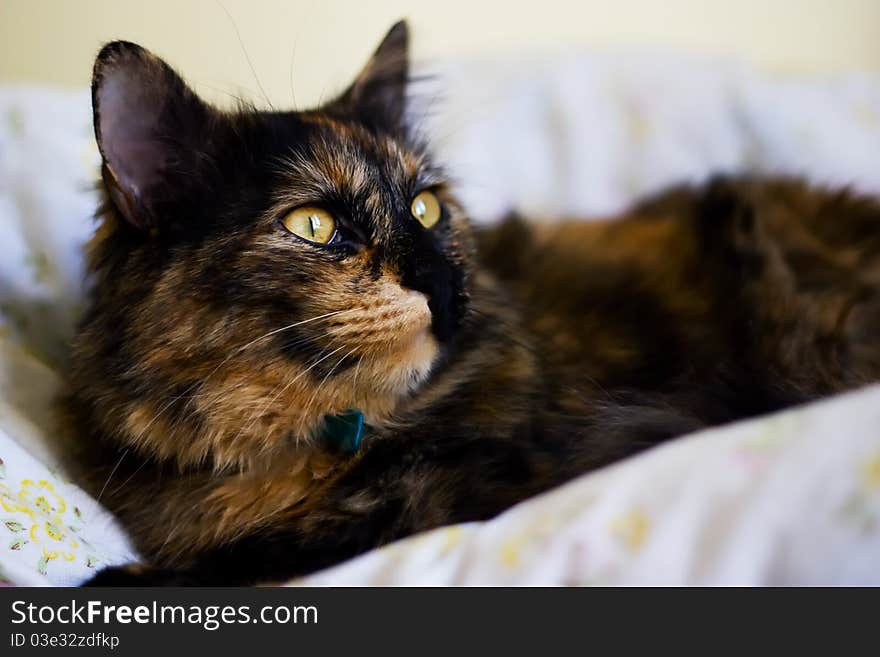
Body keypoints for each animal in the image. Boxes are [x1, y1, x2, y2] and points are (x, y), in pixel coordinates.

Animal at [60, 20, 880, 584]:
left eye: (426, 208)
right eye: (313, 225)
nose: (441, 280)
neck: (301, 440)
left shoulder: (488, 481)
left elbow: (302, 539)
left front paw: (124, 579)